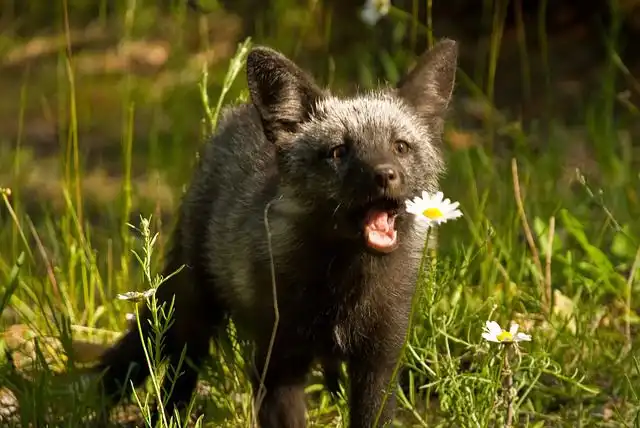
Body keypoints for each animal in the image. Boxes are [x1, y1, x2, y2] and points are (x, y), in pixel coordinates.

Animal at [95, 39, 458, 428]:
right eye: (339, 152)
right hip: (195, 314)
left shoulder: (380, 363)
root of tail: (235, 116)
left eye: (400, 147)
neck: (345, 295)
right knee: (177, 374)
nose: (385, 174)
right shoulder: (277, 364)